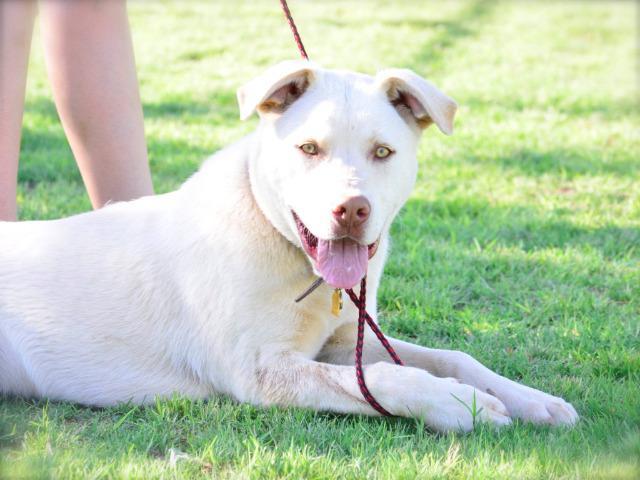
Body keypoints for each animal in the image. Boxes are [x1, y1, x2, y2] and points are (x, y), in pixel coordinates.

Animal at [0, 60, 576, 432]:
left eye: (383, 152)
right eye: (309, 148)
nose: (351, 210)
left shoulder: (342, 343)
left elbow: (451, 356)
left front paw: (533, 400)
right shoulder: (262, 372)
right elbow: (386, 378)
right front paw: (461, 405)